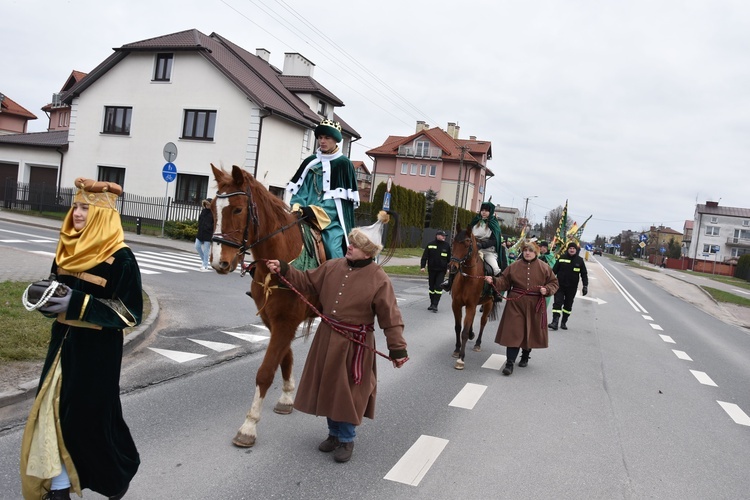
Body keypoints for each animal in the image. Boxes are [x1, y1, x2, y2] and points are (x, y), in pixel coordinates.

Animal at [210, 165, 318, 450]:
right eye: (212, 208)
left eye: (237, 209)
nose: (219, 262)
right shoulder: (274, 321)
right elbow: (285, 357)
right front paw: (287, 397)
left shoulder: (285, 322)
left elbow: (266, 371)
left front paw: (249, 427)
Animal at [452, 225, 500, 370]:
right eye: (453, 242)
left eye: (467, 243)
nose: (453, 266)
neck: (468, 277)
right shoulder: (456, 305)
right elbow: (458, 328)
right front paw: (456, 350)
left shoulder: (471, 305)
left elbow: (464, 331)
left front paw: (461, 359)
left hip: (488, 304)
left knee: (483, 322)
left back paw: (477, 343)